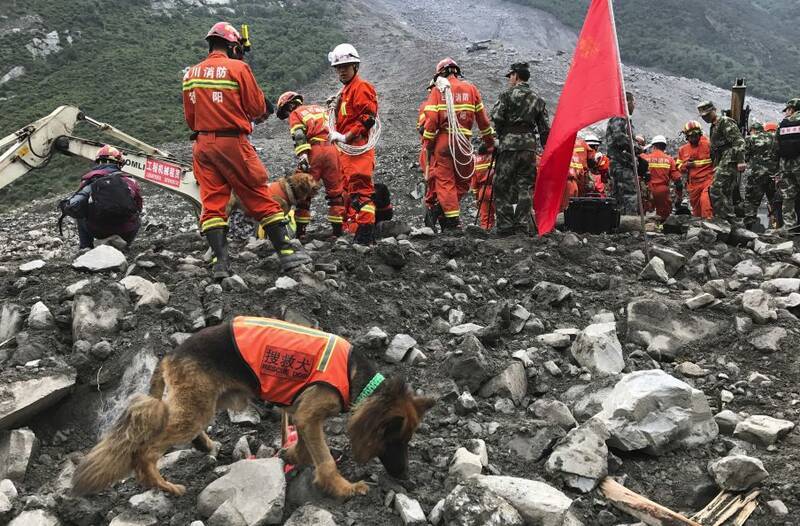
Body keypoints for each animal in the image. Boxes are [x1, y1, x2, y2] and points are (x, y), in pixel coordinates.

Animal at [71, 320, 434, 502]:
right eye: (395, 441)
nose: (405, 477)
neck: (357, 377)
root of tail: (170, 356)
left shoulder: (302, 415)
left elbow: (307, 448)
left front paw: (292, 455)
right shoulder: (310, 413)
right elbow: (326, 459)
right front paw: (343, 487)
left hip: (205, 400)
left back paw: (204, 445)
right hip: (196, 408)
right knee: (146, 450)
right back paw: (163, 486)